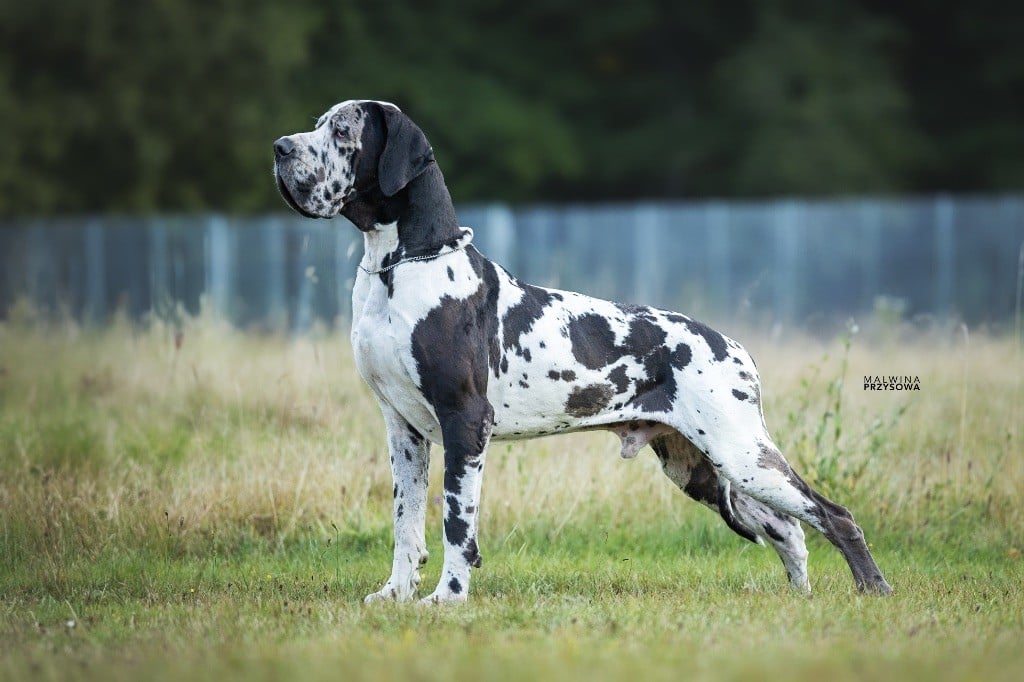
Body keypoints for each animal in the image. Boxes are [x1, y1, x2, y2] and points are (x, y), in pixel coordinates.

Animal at [276, 98, 892, 598]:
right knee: (789, 528)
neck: (398, 267)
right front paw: (396, 597)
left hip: (740, 454)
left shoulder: (464, 420)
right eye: (317, 125)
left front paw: (447, 600)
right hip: (704, 468)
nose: (280, 148)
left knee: (833, 515)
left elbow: (457, 525)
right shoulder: (402, 427)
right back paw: (800, 598)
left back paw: (872, 590)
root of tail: (736, 348)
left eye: (342, 131)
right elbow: (405, 525)